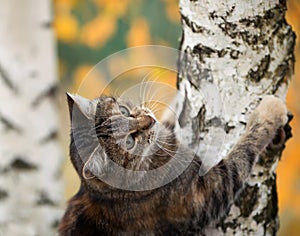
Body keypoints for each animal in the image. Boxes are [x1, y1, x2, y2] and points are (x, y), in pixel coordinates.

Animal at [58, 93, 288, 235]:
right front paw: (269, 111)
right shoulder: (208, 193)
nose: (149, 120)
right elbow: (244, 150)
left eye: (123, 111)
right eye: (130, 142)